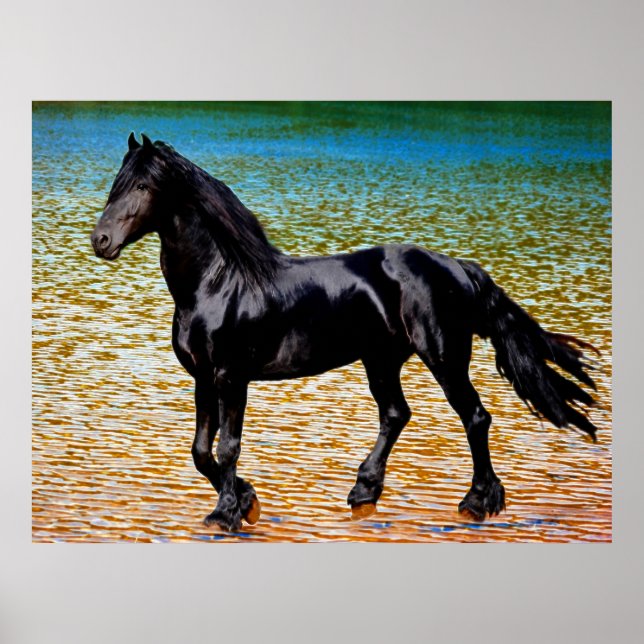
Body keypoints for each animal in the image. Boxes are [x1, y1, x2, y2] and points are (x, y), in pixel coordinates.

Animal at [90, 133, 599, 532]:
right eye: (116, 183)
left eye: (142, 186)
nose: (101, 241)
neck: (217, 283)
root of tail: (458, 267)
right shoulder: (202, 378)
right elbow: (200, 451)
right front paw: (247, 501)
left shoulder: (232, 377)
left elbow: (227, 446)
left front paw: (228, 513)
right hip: (381, 359)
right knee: (396, 414)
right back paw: (363, 493)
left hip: (444, 357)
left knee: (474, 417)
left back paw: (477, 503)